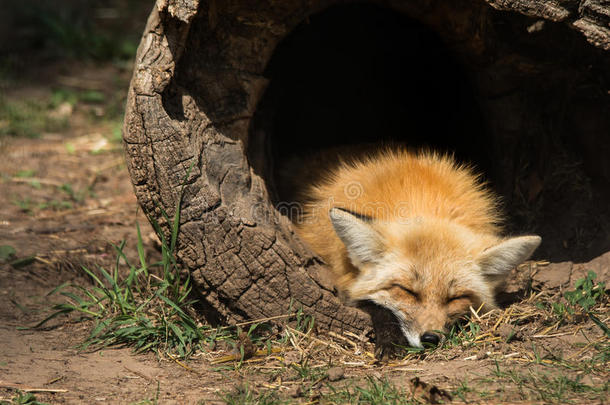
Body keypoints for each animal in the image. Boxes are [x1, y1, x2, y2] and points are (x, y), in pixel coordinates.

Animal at [292, 148, 540, 348]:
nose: (430, 338)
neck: (420, 198)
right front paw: (390, 342)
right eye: (407, 290)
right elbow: (375, 305)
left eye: (456, 297)